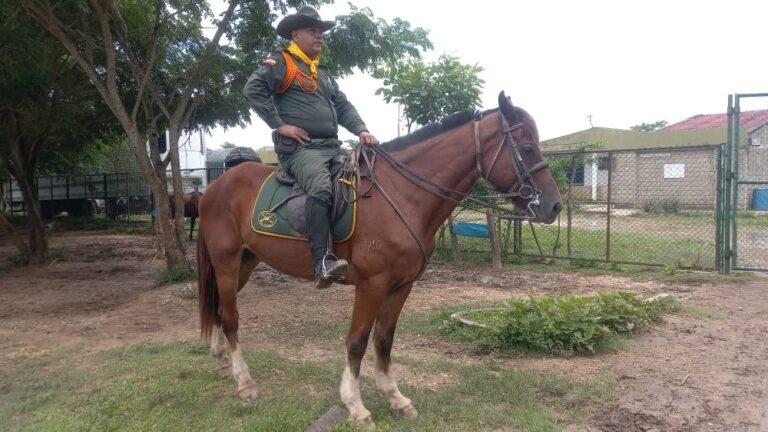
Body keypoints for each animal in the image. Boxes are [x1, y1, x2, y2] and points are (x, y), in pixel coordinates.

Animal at [196, 92, 563, 428]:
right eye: (526, 148)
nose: (554, 206)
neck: (402, 194)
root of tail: (215, 187)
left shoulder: (401, 285)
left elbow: (384, 339)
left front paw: (395, 398)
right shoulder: (372, 285)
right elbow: (357, 341)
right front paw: (355, 406)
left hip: (245, 263)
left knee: (219, 310)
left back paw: (221, 362)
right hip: (227, 262)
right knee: (231, 318)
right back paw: (244, 382)